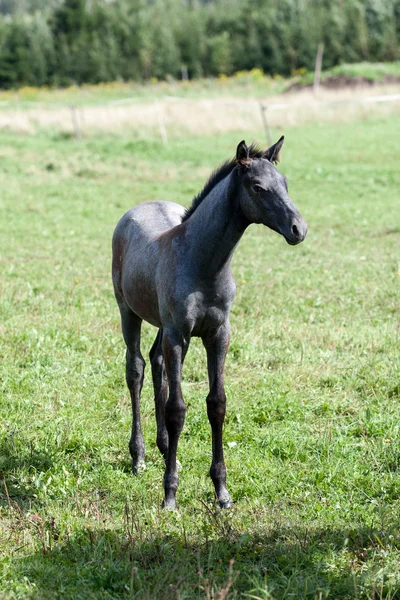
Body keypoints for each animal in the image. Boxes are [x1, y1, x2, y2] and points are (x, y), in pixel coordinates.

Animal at [112, 138, 310, 508]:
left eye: (285, 183)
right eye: (257, 187)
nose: (299, 229)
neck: (203, 263)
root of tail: (136, 209)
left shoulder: (217, 334)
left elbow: (217, 404)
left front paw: (222, 491)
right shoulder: (178, 334)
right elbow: (177, 409)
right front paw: (170, 494)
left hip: (164, 325)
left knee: (157, 363)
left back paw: (166, 450)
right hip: (128, 311)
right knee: (136, 369)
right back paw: (139, 456)